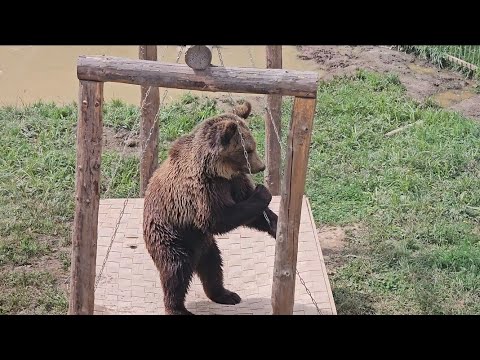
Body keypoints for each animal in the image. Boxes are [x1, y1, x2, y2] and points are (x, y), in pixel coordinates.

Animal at [142, 101, 278, 316]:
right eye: (247, 150)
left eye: (253, 146)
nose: (261, 166)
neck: (218, 170)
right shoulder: (201, 191)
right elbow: (217, 218)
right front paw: (263, 192)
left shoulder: (232, 182)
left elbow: (249, 211)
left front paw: (275, 224)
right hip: (172, 236)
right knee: (176, 271)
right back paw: (178, 308)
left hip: (204, 243)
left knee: (213, 266)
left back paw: (227, 295)